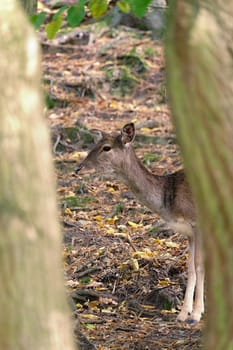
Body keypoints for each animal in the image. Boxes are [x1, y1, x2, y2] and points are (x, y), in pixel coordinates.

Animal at [76, 123, 204, 322]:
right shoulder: (188, 232)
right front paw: (183, 314)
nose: (79, 169)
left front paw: (196, 315)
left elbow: (199, 267)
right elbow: (190, 268)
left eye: (106, 147)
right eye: (94, 144)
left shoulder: (198, 223)